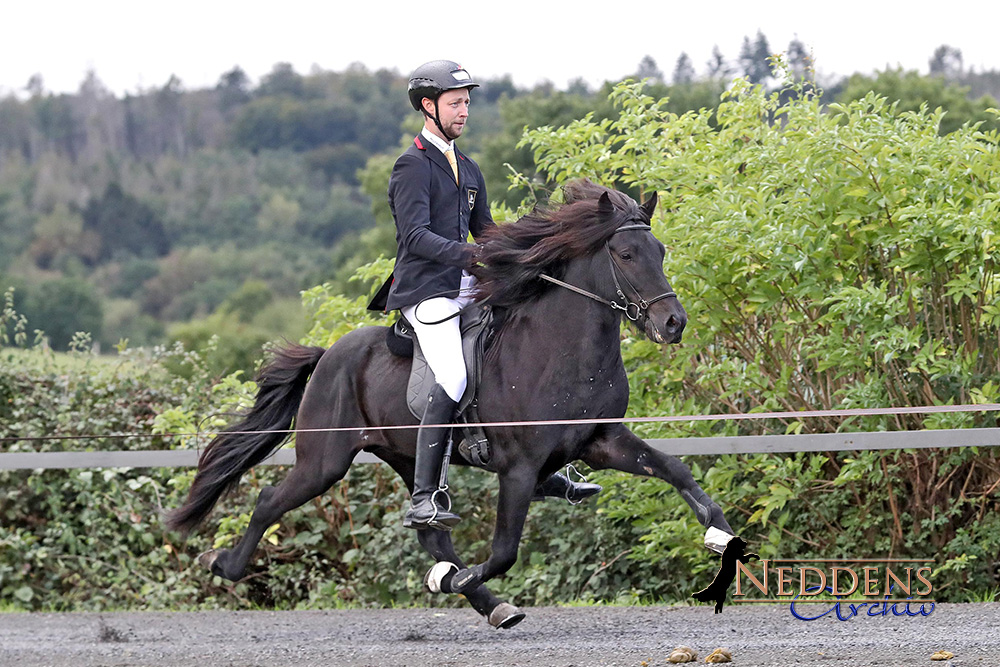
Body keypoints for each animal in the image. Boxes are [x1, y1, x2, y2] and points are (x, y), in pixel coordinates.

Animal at [170, 180, 736, 628]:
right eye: (625, 255)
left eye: (659, 250)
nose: (672, 323)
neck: (563, 350)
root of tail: (328, 353)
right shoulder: (519, 467)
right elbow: (505, 549)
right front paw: (459, 579)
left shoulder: (602, 440)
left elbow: (675, 469)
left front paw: (721, 535)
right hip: (324, 460)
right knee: (272, 500)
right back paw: (223, 565)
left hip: (403, 455)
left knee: (431, 532)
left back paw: (483, 598)